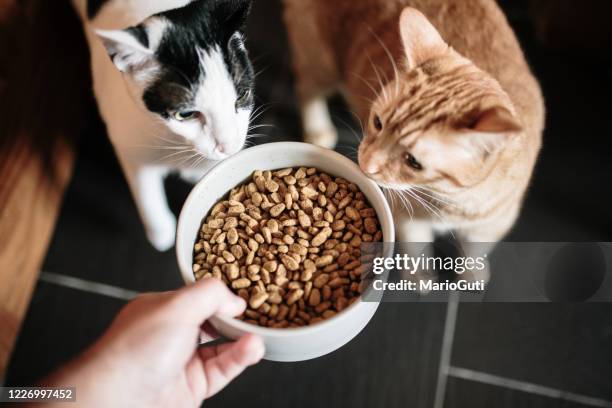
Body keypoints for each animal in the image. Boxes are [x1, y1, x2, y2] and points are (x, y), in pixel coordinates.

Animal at [73, 0, 255, 250]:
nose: (228, 146)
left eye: (242, 96)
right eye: (185, 114)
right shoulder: (128, 143)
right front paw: (161, 233)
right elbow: (146, 192)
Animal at [284, 0, 544, 282]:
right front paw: (420, 278)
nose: (365, 165)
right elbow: (415, 248)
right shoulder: (405, 216)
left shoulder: (494, 223)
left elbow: (476, 249)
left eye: (413, 161)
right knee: (306, 87)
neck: (450, 202)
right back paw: (318, 129)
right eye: (378, 123)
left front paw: (471, 274)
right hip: (321, 61)